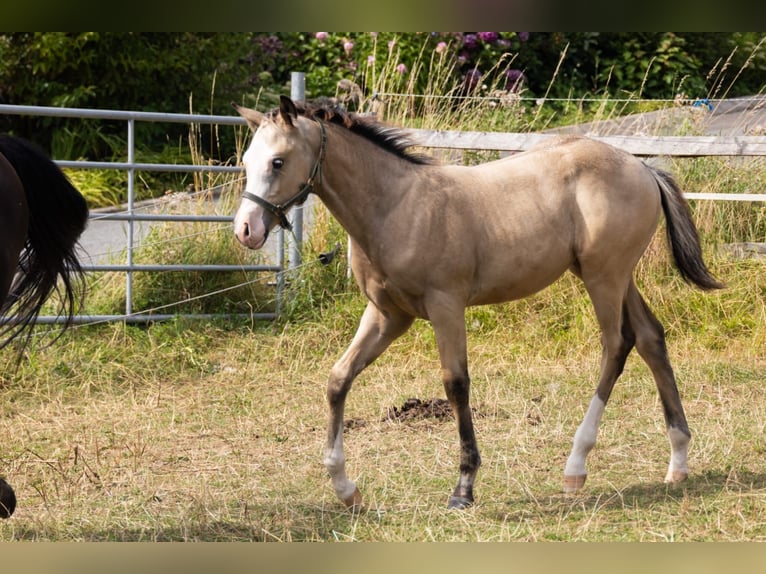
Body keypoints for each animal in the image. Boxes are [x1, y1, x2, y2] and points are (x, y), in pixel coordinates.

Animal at [231, 98, 724, 512]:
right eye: (247, 162)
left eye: (278, 161)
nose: (246, 230)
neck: (396, 207)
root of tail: (643, 168)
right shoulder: (389, 315)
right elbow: (338, 379)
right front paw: (345, 488)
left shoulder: (445, 306)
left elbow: (456, 385)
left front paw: (463, 488)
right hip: (615, 277)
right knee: (650, 338)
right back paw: (678, 461)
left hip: (604, 277)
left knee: (616, 345)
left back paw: (575, 466)